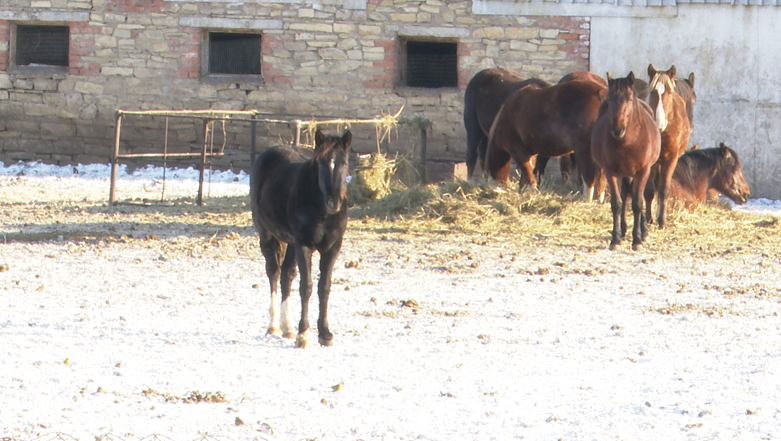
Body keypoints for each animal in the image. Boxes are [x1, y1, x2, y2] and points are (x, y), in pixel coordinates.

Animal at [250, 130, 350, 348]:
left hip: (289, 243)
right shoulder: (304, 245)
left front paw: (325, 333)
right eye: (321, 163)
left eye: (344, 162)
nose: (333, 201)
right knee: (274, 272)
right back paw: (274, 326)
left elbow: (324, 287)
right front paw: (303, 334)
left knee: (286, 275)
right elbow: (306, 287)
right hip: (267, 235)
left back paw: (287, 327)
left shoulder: (332, 248)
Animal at [592, 72, 660, 251]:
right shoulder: (611, 172)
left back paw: (643, 232)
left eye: (629, 99)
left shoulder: (642, 171)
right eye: (610, 99)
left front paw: (637, 240)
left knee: (638, 196)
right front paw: (615, 239)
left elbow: (637, 202)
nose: (617, 129)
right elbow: (617, 203)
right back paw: (623, 231)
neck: (628, 142)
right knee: (625, 195)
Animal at [644, 65, 692, 230]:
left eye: (668, 92)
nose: (659, 122)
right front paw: (648, 219)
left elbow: (664, 190)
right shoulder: (651, 162)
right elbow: (649, 190)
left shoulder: (671, 159)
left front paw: (662, 221)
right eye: (652, 92)